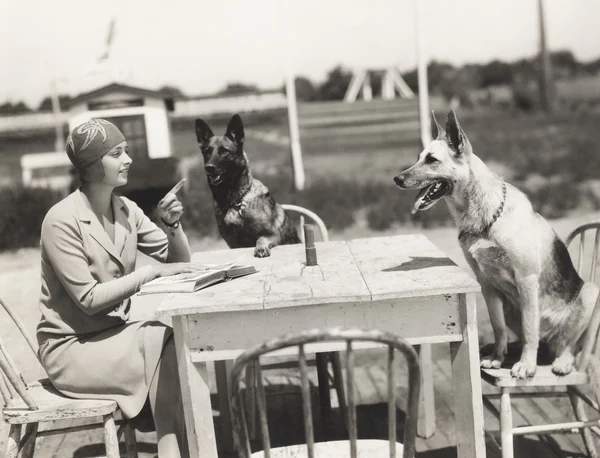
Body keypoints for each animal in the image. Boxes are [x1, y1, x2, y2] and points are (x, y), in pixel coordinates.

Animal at [195, 113, 300, 258]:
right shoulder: (233, 243)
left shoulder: (272, 234)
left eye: (224, 151)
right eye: (207, 151)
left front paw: (261, 247)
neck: (234, 202)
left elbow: (260, 238)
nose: (209, 168)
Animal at [394, 111, 600, 380]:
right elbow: (498, 326)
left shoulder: (526, 280)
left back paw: (561, 362)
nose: (396, 179)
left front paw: (526, 365)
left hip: (589, 292)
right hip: (514, 307)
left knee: (568, 345)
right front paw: (497, 358)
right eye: (418, 158)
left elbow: (530, 330)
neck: (488, 219)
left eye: (431, 160)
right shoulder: (486, 284)